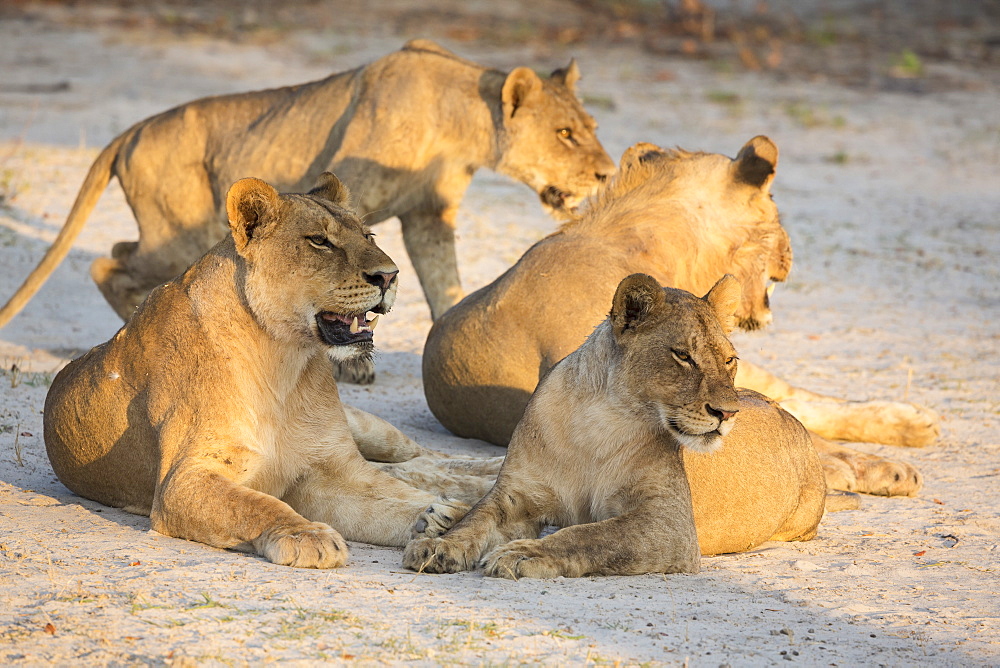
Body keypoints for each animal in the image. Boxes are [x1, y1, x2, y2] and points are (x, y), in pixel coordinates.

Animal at [0, 38, 612, 326]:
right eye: (564, 134)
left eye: (592, 127)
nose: (606, 172)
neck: (462, 126)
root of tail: (132, 129)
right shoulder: (349, 193)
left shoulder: (429, 216)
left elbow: (447, 288)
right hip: (177, 236)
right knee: (108, 262)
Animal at [45, 172, 498, 568]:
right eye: (320, 241)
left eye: (368, 237)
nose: (389, 275)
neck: (281, 359)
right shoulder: (183, 480)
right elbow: (255, 504)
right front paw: (309, 536)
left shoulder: (328, 469)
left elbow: (388, 499)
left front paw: (449, 519)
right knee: (409, 468)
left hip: (366, 428)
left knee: (425, 458)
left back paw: (486, 477)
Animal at [402, 274, 824, 576]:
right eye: (683, 356)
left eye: (730, 360)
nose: (729, 413)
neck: (600, 422)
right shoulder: (516, 492)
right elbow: (480, 518)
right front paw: (441, 546)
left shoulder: (670, 524)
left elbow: (591, 535)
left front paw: (524, 553)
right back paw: (440, 517)